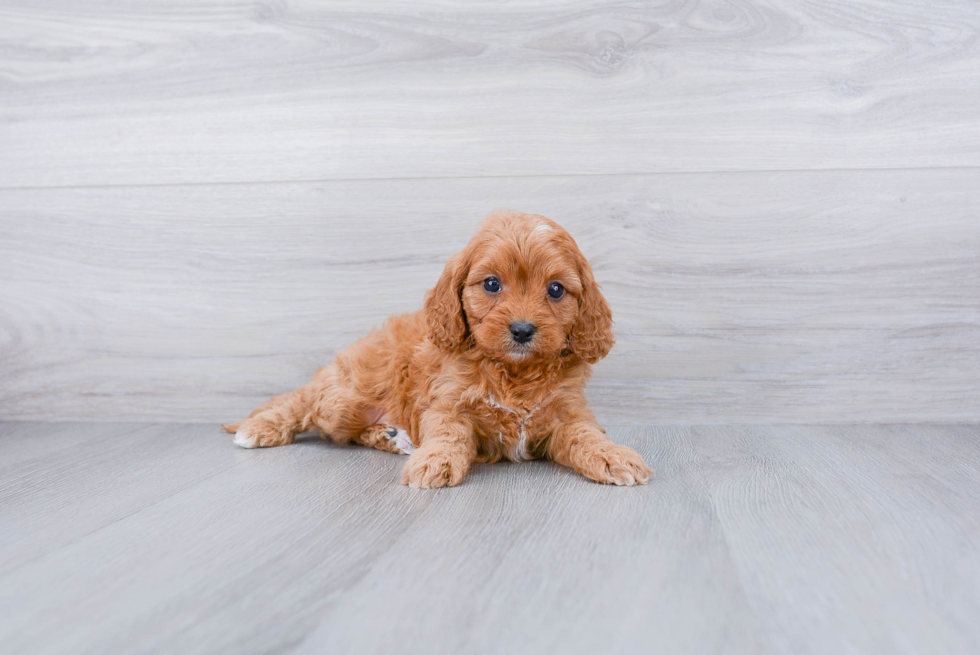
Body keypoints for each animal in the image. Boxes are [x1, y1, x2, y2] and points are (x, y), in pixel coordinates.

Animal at [222, 210, 652, 486]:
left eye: (557, 290)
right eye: (491, 284)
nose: (522, 330)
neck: (512, 372)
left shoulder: (567, 414)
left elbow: (586, 436)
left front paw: (612, 455)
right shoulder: (448, 404)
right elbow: (449, 435)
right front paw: (435, 461)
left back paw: (391, 437)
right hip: (350, 392)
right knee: (308, 405)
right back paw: (258, 428)